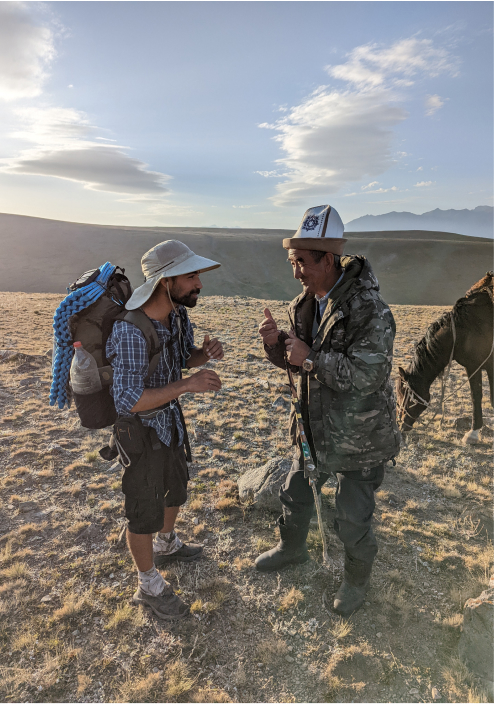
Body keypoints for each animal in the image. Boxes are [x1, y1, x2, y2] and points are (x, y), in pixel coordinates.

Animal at [398, 272, 494, 442]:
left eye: (402, 394)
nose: (401, 427)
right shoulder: (479, 366)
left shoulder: (478, 366)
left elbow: (479, 396)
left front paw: (472, 433)